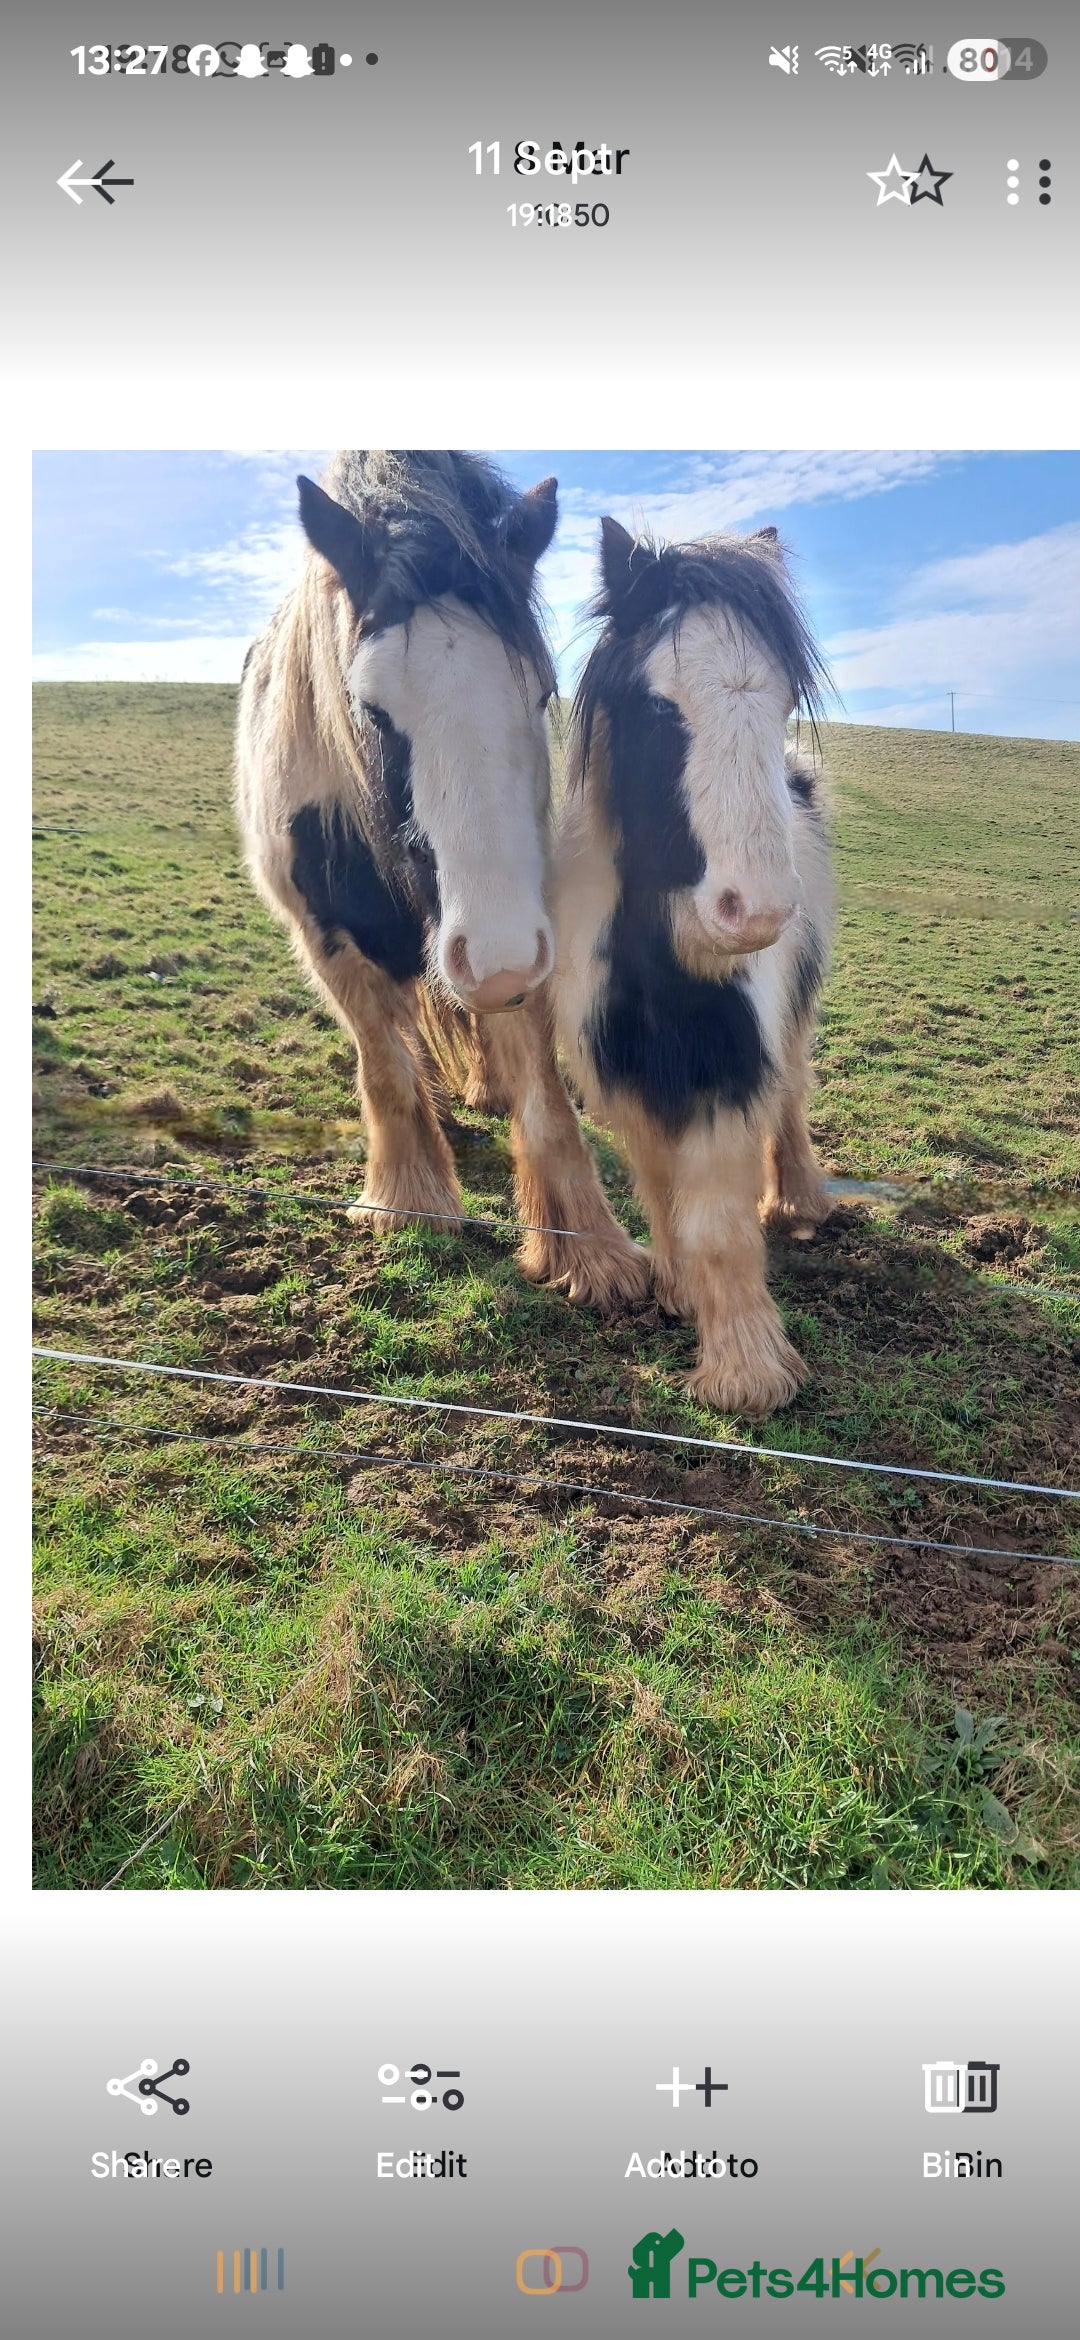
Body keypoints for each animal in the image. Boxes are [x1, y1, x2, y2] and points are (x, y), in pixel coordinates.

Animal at [234, 451, 649, 1309]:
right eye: (368, 707)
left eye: (542, 692)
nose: (496, 961)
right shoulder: (326, 938)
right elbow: (383, 1065)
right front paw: (408, 1200)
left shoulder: (529, 925)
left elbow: (543, 1092)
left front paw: (589, 1250)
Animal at [541, 516, 834, 1417]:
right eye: (658, 707)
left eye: (782, 703)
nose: (760, 914)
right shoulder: (624, 1064)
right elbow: (657, 1183)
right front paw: (673, 1288)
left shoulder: (727, 1060)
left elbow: (716, 1217)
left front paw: (746, 1370)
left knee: (794, 1090)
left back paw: (800, 1201)